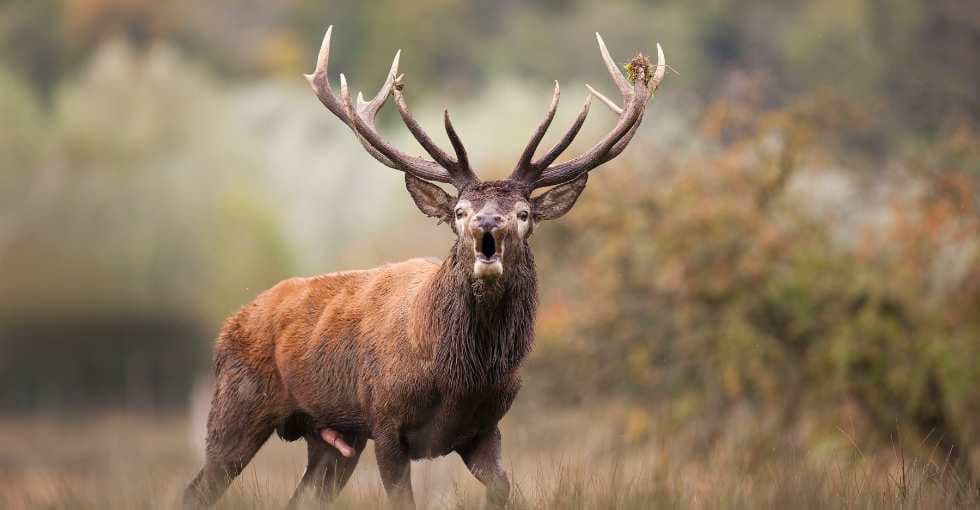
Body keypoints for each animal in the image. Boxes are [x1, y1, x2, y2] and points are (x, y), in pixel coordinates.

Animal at [183, 24, 664, 510]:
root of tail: (230, 325)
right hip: (239, 405)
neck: (459, 377)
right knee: (198, 487)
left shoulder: (485, 428)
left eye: (525, 213)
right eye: (460, 211)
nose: (488, 223)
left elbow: (503, 489)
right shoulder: (385, 422)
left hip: (333, 438)